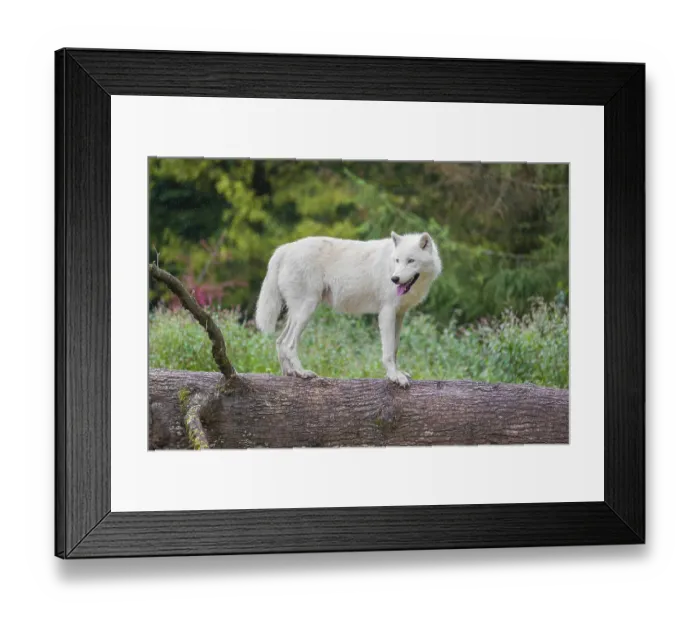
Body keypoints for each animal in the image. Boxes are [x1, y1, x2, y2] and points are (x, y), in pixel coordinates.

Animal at [255, 231, 442, 386]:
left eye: (410, 260)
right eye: (397, 260)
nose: (394, 279)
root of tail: (285, 248)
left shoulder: (399, 315)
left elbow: (395, 349)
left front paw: (395, 373)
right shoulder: (386, 312)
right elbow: (388, 352)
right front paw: (395, 377)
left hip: (296, 314)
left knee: (279, 341)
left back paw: (289, 373)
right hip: (306, 311)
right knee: (288, 344)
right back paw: (302, 372)